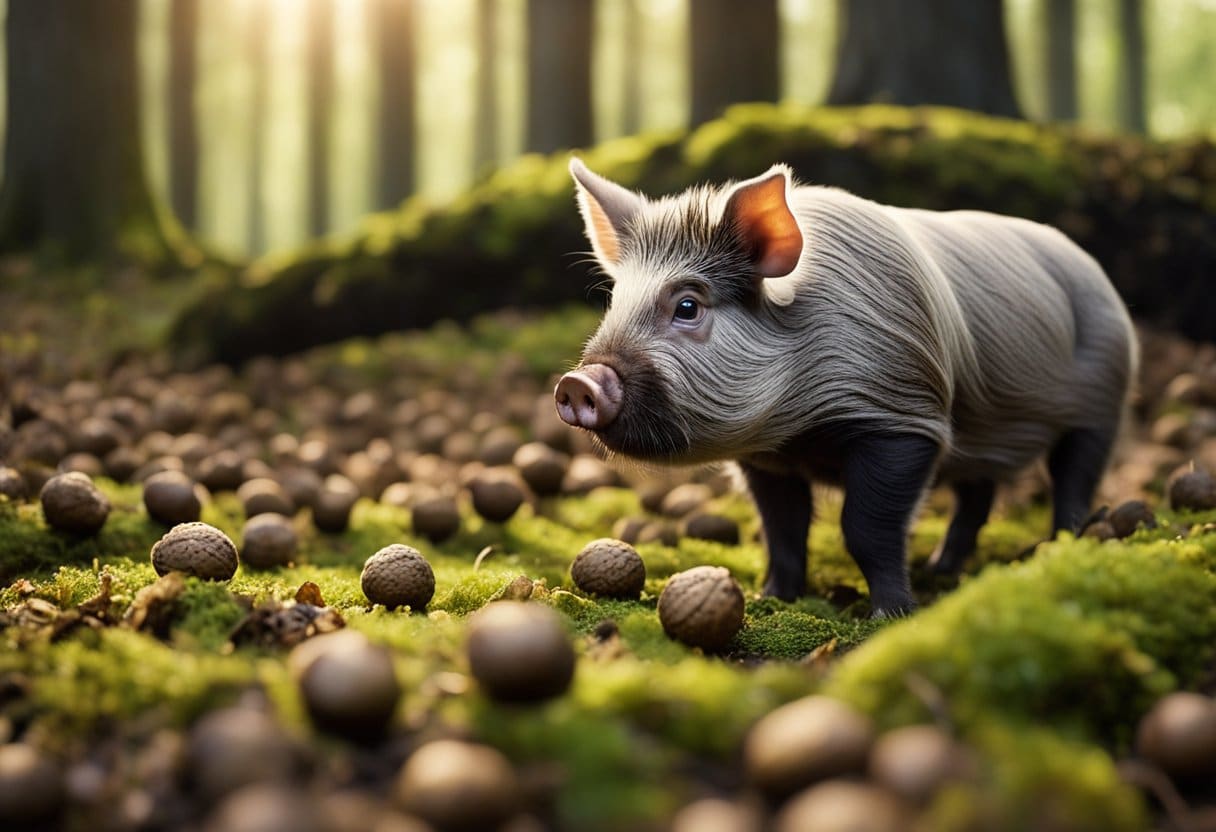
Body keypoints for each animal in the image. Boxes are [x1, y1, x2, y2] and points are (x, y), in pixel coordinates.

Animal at [554, 158, 1137, 616]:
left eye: (688, 305)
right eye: (614, 300)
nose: (577, 383)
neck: (802, 424)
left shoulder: (906, 417)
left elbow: (866, 528)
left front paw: (891, 615)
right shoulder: (769, 458)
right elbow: (782, 529)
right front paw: (771, 599)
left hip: (1104, 402)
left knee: (1074, 475)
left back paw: (1063, 545)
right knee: (978, 493)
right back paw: (941, 569)